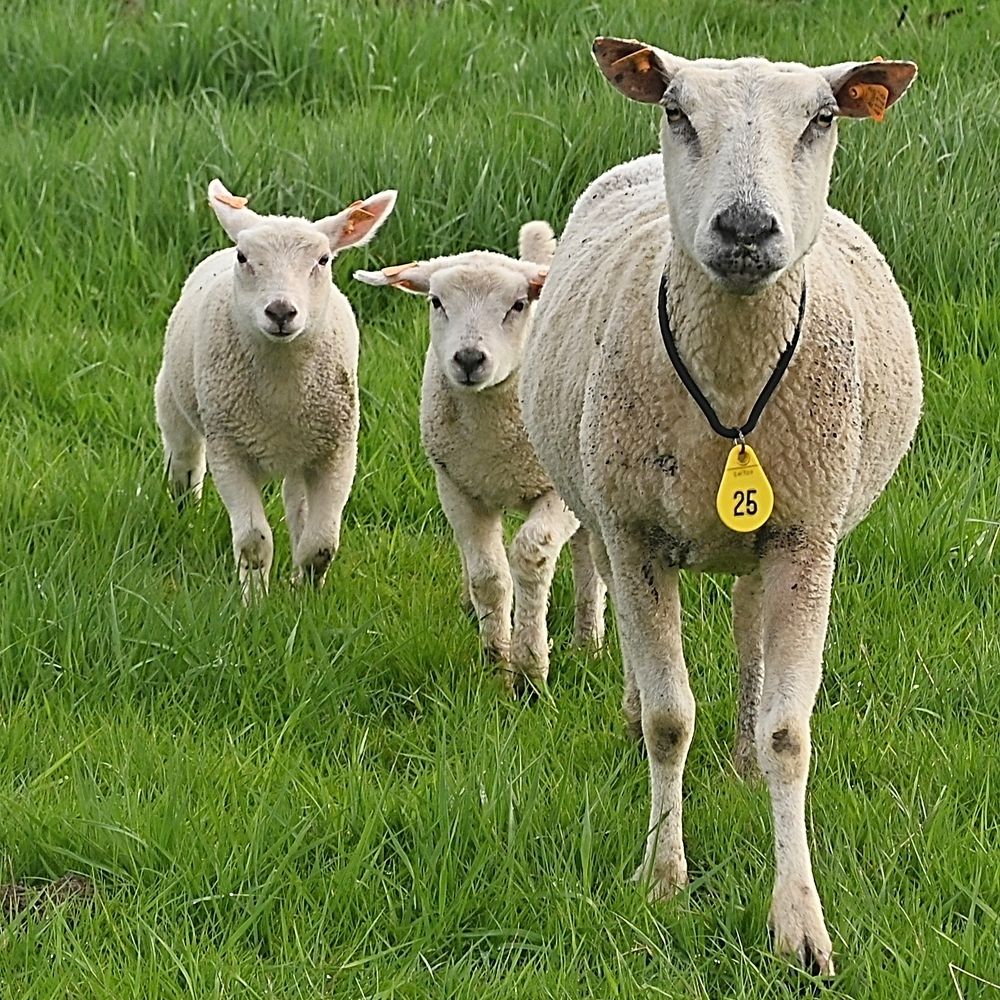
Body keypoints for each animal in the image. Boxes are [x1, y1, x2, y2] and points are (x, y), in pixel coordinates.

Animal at [155, 178, 397, 602]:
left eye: (323, 260)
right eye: (244, 257)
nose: (281, 312)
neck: (282, 385)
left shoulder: (337, 451)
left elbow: (321, 544)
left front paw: (307, 595)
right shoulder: (228, 449)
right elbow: (254, 541)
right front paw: (254, 601)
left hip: (304, 449)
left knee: (297, 506)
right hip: (172, 403)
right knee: (184, 466)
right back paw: (185, 516)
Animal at [354, 224, 606, 691]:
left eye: (518, 304)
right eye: (436, 302)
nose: (469, 359)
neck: (496, 436)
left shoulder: (554, 492)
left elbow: (531, 556)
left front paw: (531, 668)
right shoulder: (458, 488)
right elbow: (489, 578)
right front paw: (497, 665)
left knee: (587, 561)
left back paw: (589, 642)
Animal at [518, 38, 921, 974]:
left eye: (821, 119)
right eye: (676, 111)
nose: (743, 229)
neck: (732, 390)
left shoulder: (808, 540)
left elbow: (789, 735)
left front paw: (800, 923)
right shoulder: (633, 532)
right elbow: (673, 719)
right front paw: (663, 878)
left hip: (772, 540)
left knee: (745, 630)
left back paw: (738, 752)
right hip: (607, 506)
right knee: (638, 643)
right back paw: (636, 716)